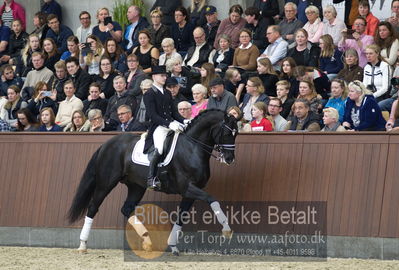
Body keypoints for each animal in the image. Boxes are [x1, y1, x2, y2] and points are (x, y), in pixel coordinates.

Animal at [68, 108, 238, 254]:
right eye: (227, 133)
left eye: (236, 133)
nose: (229, 159)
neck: (192, 148)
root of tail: (106, 144)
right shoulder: (187, 187)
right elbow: (212, 199)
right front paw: (226, 229)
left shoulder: (190, 192)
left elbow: (181, 216)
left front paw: (172, 245)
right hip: (106, 183)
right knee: (93, 207)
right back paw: (82, 245)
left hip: (136, 186)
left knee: (126, 209)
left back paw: (147, 241)